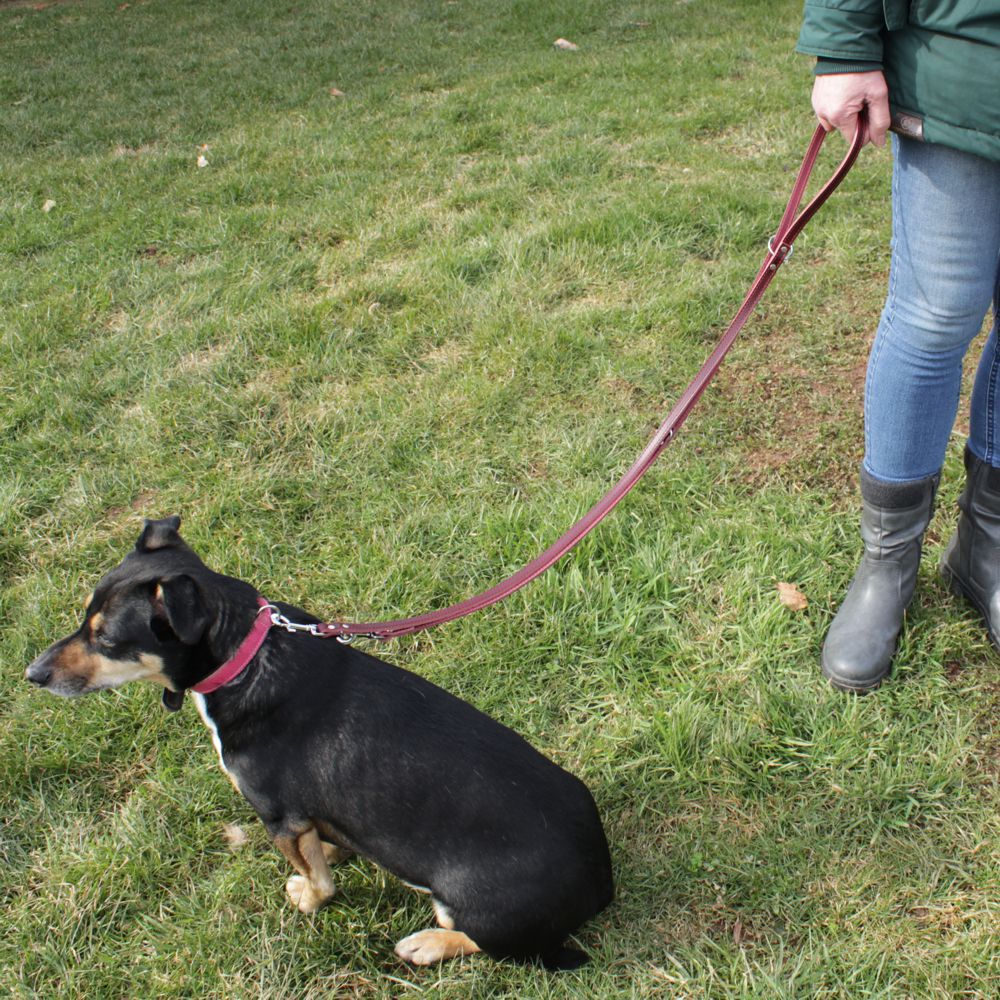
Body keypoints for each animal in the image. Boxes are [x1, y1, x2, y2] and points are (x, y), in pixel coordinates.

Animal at [23, 516, 612, 968]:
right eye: (84, 616)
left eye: (106, 638)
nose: (32, 674)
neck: (244, 655)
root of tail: (602, 882)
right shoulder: (305, 818)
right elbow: (323, 844)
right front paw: (331, 850)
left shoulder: (277, 813)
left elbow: (317, 881)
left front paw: (308, 896)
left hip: (466, 904)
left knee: (495, 946)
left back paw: (428, 943)